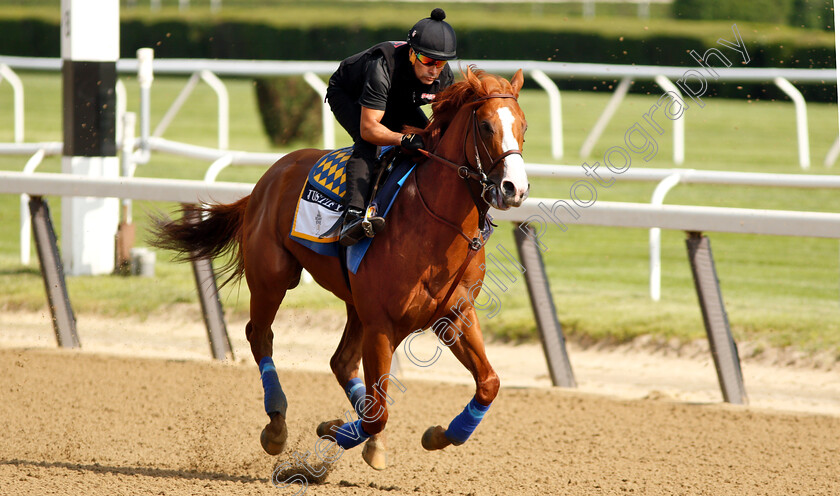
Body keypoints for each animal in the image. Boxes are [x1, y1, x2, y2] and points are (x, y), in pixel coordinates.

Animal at [151, 68, 528, 470]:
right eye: (486, 126)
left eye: (523, 125)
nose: (515, 188)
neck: (434, 223)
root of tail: (269, 177)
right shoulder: (381, 324)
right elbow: (378, 413)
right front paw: (332, 433)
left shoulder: (455, 314)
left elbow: (488, 384)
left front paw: (438, 434)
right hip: (272, 278)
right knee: (260, 336)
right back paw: (277, 425)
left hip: (354, 304)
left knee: (340, 362)